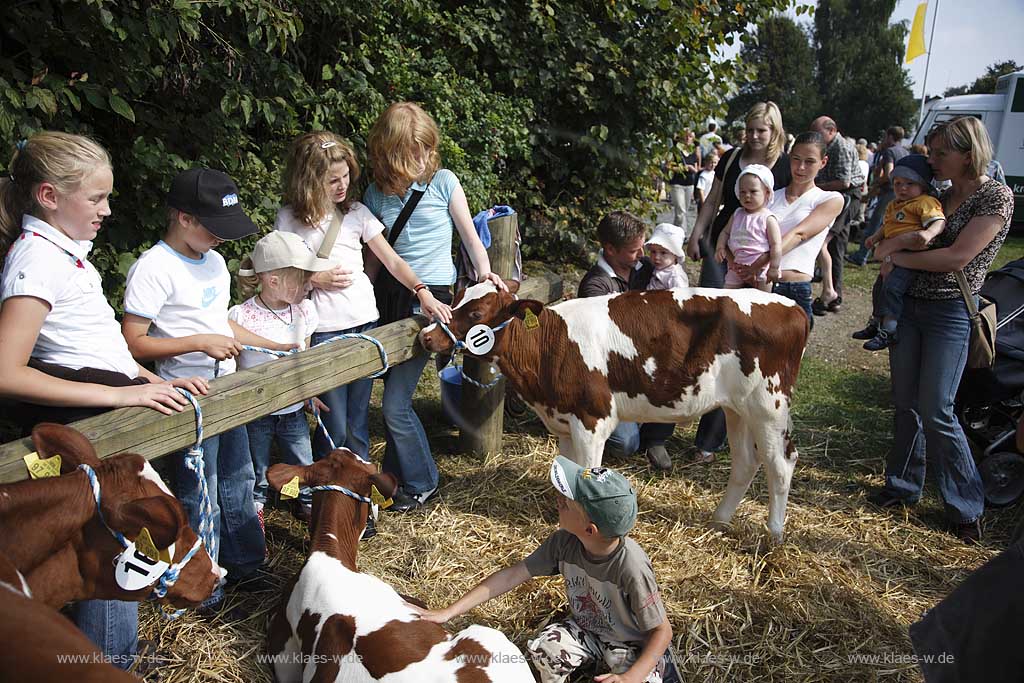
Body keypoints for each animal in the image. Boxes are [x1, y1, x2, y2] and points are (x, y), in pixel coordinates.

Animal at [419, 282, 811, 540]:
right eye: (455, 298)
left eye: (475, 312)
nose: (426, 336)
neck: (549, 345)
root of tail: (791, 306)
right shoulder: (565, 421)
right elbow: (567, 475)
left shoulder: (593, 418)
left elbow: (587, 475)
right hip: (736, 408)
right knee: (746, 461)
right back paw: (719, 521)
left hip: (768, 405)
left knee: (780, 463)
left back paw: (774, 534)